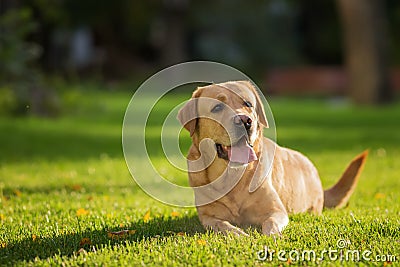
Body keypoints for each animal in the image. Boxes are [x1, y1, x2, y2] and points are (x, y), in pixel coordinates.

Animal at [178, 81, 368, 237]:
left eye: (248, 104)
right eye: (217, 108)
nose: (245, 121)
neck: (232, 175)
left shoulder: (276, 211)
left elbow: (271, 224)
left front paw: (273, 237)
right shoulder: (208, 217)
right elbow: (223, 226)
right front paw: (238, 234)